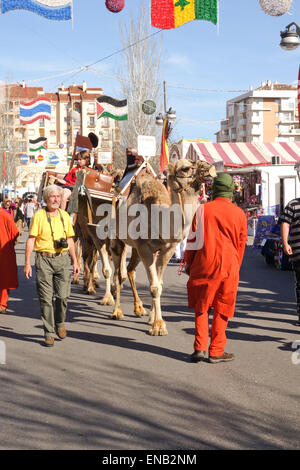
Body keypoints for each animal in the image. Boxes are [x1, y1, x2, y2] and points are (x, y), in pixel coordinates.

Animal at [109, 160, 217, 336]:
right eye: (185, 168)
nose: (209, 168)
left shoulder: (167, 249)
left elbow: (158, 283)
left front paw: (153, 319)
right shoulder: (144, 247)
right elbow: (154, 287)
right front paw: (159, 326)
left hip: (136, 249)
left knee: (131, 270)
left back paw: (139, 308)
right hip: (118, 238)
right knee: (119, 274)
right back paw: (117, 311)